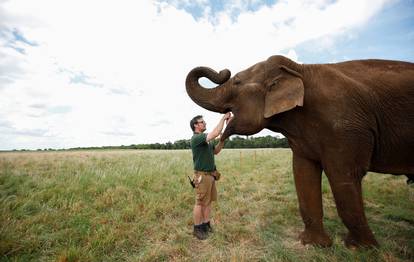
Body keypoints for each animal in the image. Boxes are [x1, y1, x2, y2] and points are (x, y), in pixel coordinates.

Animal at [185, 54, 414, 248]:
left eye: (237, 82)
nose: (224, 71)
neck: (299, 69)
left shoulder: (345, 126)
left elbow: (343, 176)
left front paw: (360, 249)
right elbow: (303, 174)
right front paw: (314, 244)